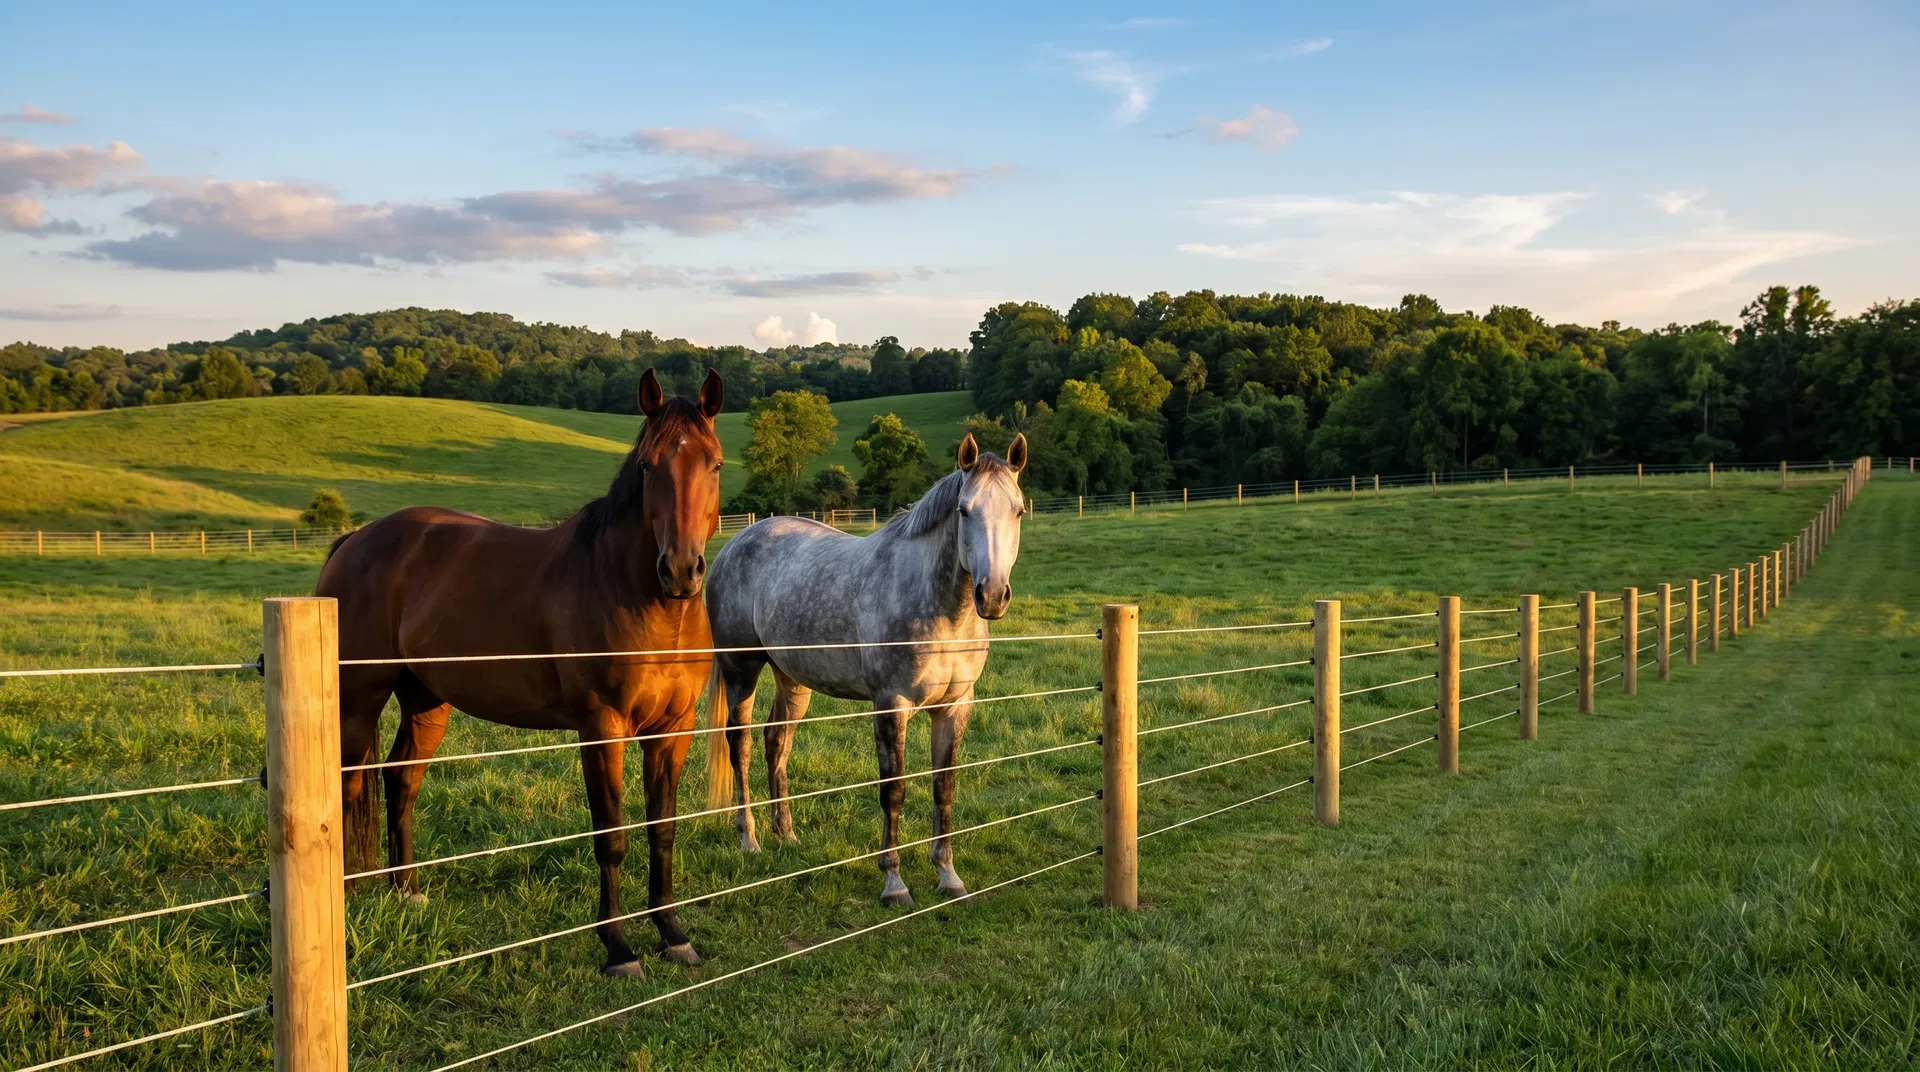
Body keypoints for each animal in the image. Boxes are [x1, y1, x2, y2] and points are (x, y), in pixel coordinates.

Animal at [317, 367, 724, 976]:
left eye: (714, 464)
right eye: (649, 466)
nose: (680, 570)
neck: (642, 599)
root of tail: (355, 540)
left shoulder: (674, 729)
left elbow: (663, 831)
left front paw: (672, 933)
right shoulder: (601, 729)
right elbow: (612, 836)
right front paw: (618, 948)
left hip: (426, 700)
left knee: (401, 778)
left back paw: (406, 890)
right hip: (358, 697)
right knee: (349, 785)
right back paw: (345, 896)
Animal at [701, 433, 1028, 907]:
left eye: (1018, 510)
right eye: (964, 510)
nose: (993, 595)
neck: (939, 605)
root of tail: (734, 544)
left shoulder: (955, 707)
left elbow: (943, 788)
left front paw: (949, 877)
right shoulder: (891, 704)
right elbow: (894, 790)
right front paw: (894, 883)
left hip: (792, 678)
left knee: (776, 740)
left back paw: (786, 834)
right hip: (740, 668)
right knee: (739, 744)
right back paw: (750, 839)